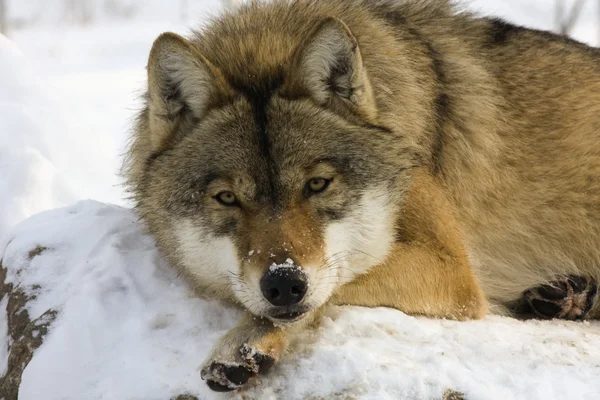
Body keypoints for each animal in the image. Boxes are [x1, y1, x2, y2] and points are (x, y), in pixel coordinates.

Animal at [123, 0, 600, 390]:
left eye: (318, 184)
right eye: (227, 198)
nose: (283, 284)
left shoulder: (452, 270)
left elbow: (337, 282)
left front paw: (244, 342)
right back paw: (567, 297)